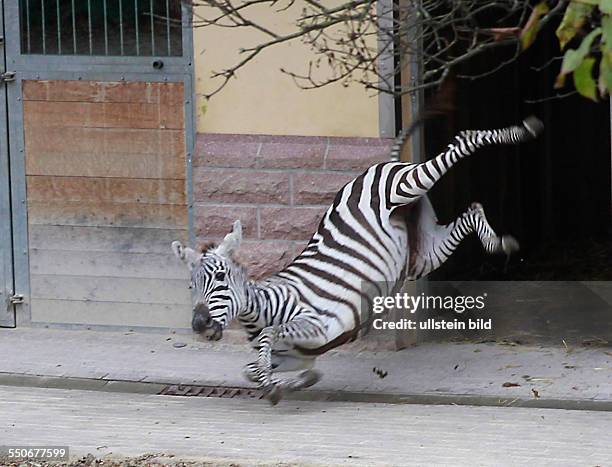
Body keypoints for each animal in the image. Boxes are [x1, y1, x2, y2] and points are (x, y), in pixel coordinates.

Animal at [171, 115, 540, 404]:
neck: (264, 307)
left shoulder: (318, 324)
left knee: (464, 141)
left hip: (404, 186)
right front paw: (291, 383)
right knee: (472, 210)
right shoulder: (294, 354)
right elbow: (253, 368)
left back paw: (522, 130)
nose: (199, 325)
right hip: (424, 252)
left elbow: (269, 337)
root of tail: (380, 165)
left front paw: (281, 384)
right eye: (190, 285)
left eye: (220, 278)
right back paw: (500, 242)